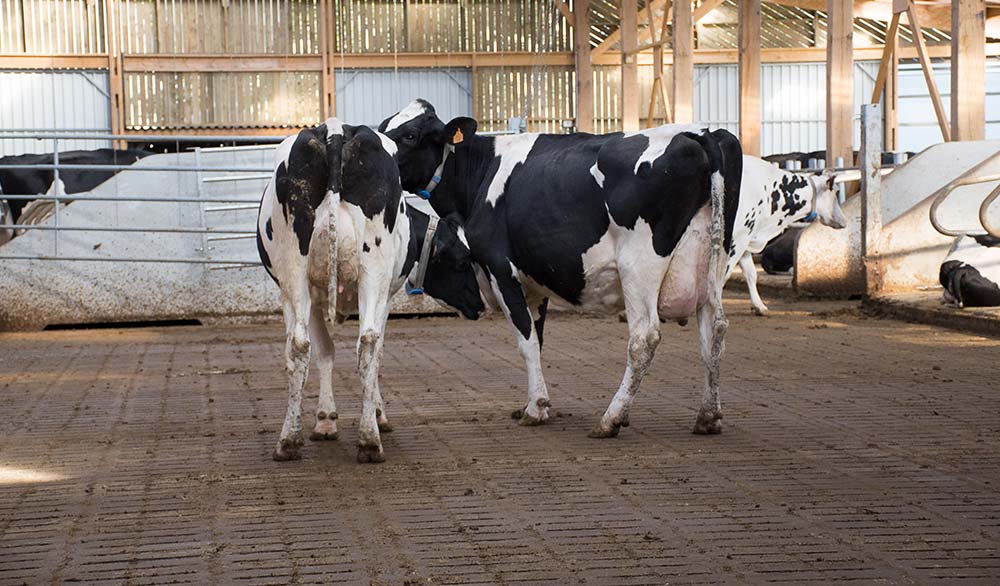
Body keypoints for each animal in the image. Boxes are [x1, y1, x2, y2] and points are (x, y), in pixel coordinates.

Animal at [254, 117, 480, 460]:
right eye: (464, 261)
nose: (480, 305)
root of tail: (335, 130)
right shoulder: (386, 296)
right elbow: (372, 351)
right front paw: (375, 413)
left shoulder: (309, 297)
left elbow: (324, 351)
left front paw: (325, 420)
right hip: (373, 273)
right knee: (370, 343)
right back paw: (370, 439)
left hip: (296, 272)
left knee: (299, 345)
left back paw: (289, 440)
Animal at [724, 153, 848, 312]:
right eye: (837, 191)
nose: (844, 221)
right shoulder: (735, 240)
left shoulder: (746, 237)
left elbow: (750, 273)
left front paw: (759, 306)